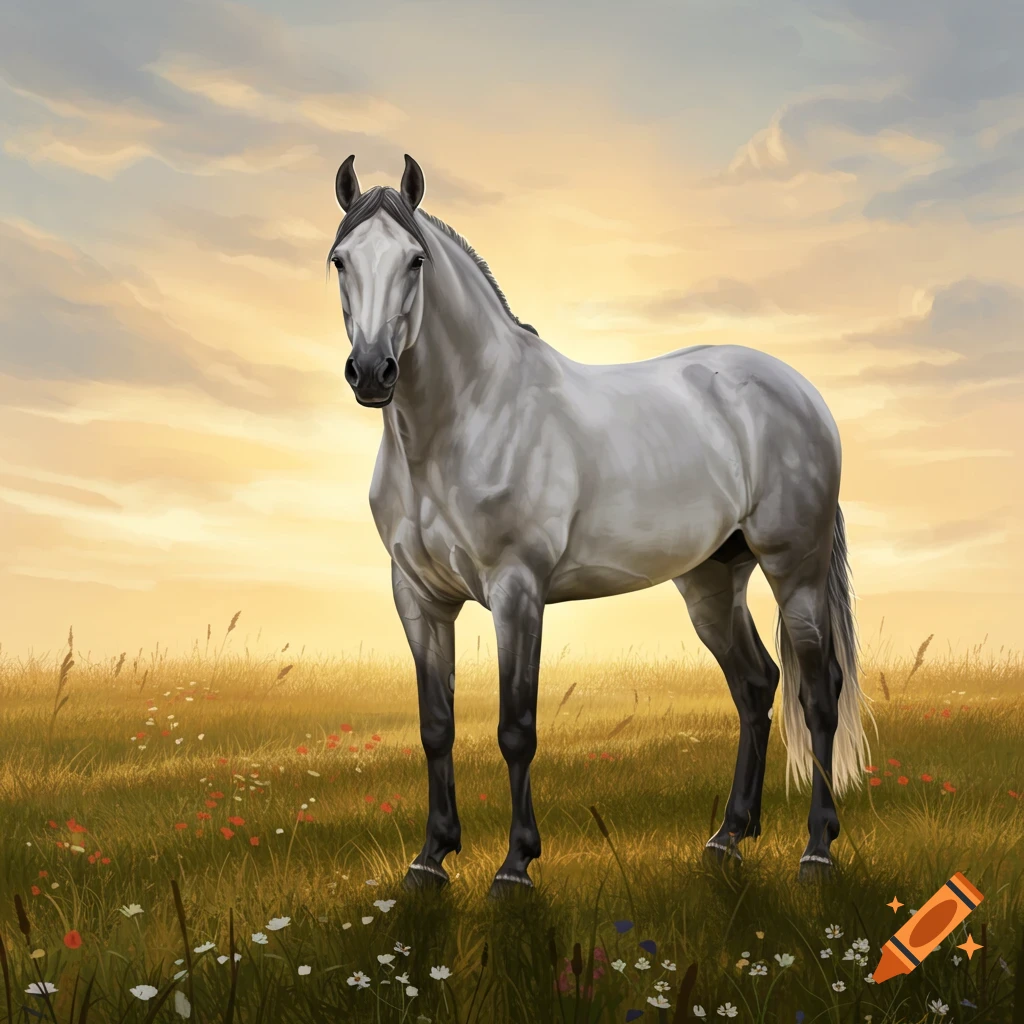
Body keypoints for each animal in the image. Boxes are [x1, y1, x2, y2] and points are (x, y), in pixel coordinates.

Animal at [326, 153, 873, 895]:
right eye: (340, 260)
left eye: (414, 260)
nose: (372, 372)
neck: (464, 420)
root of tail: (801, 390)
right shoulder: (418, 597)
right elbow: (435, 726)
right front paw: (430, 859)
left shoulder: (517, 591)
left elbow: (516, 727)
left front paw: (516, 866)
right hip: (713, 579)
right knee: (756, 685)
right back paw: (728, 838)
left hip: (797, 569)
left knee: (819, 694)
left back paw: (816, 850)